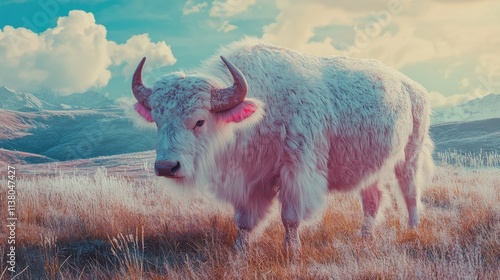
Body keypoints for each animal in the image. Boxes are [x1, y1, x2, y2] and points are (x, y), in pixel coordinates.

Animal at [132, 37, 434, 252]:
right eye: (158, 119)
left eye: (199, 121)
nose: (167, 167)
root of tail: (413, 88)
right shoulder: (250, 179)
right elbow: (244, 220)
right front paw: (239, 251)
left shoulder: (296, 171)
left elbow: (290, 217)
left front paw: (292, 251)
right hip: (370, 168)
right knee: (373, 200)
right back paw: (365, 237)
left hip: (409, 157)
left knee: (410, 193)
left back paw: (412, 229)